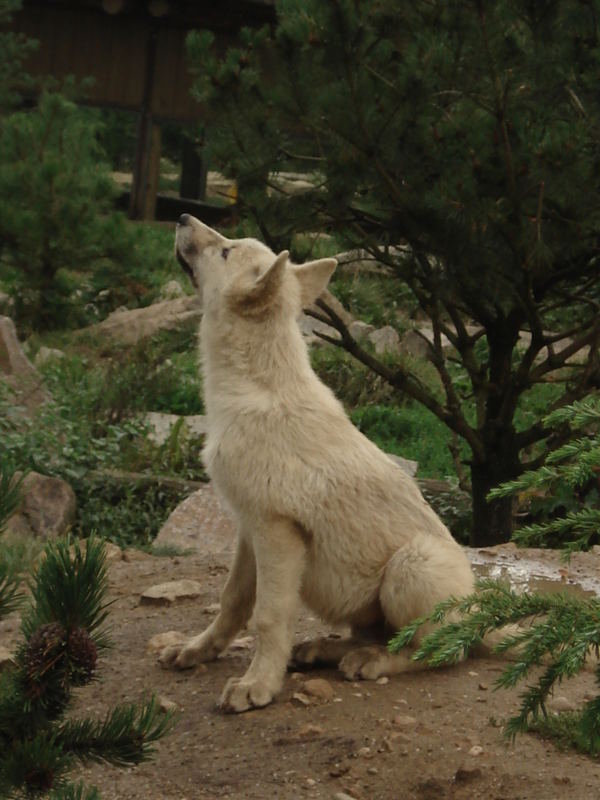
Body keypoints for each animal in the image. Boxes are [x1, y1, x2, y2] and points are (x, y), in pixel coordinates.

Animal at [158, 214, 474, 712]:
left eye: (225, 250)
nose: (183, 217)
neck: (254, 392)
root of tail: (484, 619)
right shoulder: (248, 528)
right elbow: (232, 602)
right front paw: (197, 651)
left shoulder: (277, 532)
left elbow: (268, 617)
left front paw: (257, 686)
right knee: (376, 636)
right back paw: (324, 649)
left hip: (411, 566)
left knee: (434, 650)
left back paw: (370, 662)